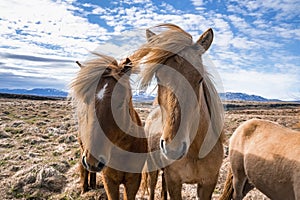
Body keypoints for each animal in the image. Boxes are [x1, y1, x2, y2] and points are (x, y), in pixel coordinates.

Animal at [68, 52, 148, 198]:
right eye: (85, 101)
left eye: (120, 102)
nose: (93, 160)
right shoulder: (110, 181)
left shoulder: (133, 181)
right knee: (83, 169)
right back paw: (84, 189)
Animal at [132, 24, 225, 199]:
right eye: (158, 77)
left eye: (199, 78)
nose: (173, 148)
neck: (195, 152)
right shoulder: (174, 181)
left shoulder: (208, 184)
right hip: (152, 166)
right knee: (152, 187)